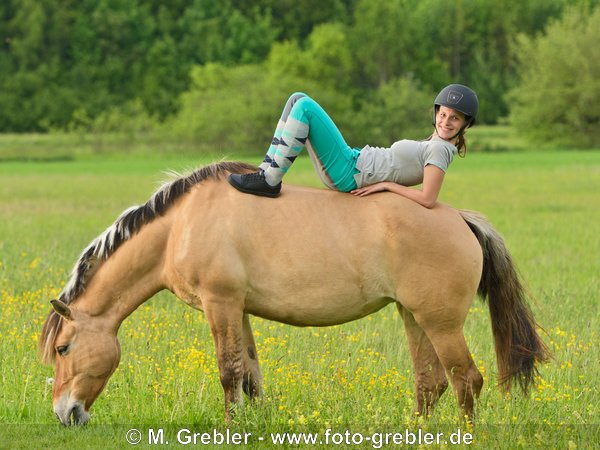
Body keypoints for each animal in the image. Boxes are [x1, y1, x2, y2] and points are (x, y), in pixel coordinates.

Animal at [38, 161, 548, 426]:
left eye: (63, 348)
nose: (65, 413)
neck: (180, 226)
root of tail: (459, 217)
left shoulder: (220, 304)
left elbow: (228, 371)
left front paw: (231, 429)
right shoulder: (238, 309)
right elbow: (249, 374)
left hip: (440, 322)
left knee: (466, 381)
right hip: (413, 316)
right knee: (431, 383)